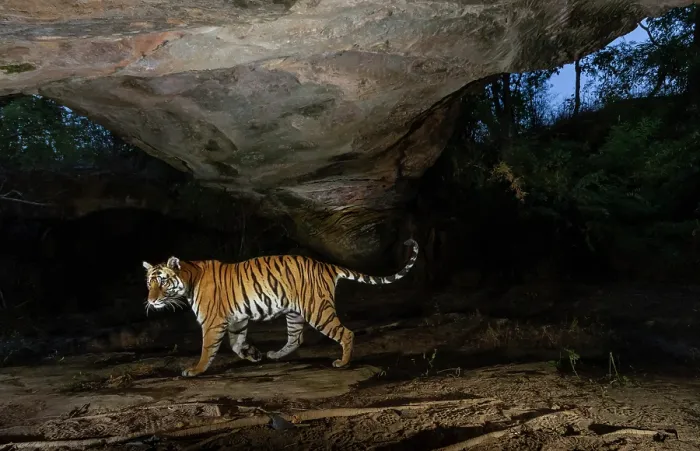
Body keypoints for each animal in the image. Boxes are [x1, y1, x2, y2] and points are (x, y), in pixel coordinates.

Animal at [142, 239, 419, 377]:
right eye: (149, 283)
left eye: (162, 281)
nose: (151, 300)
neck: (189, 278)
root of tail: (325, 265)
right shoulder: (237, 320)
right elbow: (236, 343)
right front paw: (253, 354)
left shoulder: (212, 322)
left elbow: (207, 349)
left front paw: (195, 370)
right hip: (295, 313)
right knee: (296, 339)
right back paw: (274, 355)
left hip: (317, 310)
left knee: (346, 333)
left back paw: (342, 363)